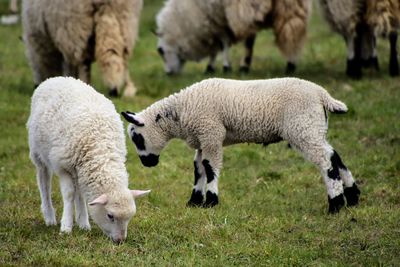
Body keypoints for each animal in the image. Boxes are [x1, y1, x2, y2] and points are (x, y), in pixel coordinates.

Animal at [27, 76, 150, 244]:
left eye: (130, 217)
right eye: (110, 216)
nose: (120, 241)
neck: (100, 151)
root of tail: (55, 78)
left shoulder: (81, 167)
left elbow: (81, 195)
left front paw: (83, 223)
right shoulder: (63, 166)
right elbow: (69, 194)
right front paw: (66, 227)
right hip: (38, 152)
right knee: (44, 181)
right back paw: (49, 216)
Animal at [120, 78, 360, 216]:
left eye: (137, 138)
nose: (147, 164)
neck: (180, 113)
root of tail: (322, 95)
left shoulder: (212, 133)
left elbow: (210, 167)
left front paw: (211, 201)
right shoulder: (203, 138)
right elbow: (198, 168)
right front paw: (195, 201)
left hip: (302, 126)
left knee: (326, 162)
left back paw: (335, 205)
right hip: (312, 127)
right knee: (334, 155)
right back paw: (353, 197)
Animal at [156, 0, 312, 75]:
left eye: (161, 51)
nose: (168, 73)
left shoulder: (218, 18)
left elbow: (222, 43)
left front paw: (225, 67)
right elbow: (217, 46)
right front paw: (211, 66)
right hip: (291, 5)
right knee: (293, 32)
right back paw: (291, 64)